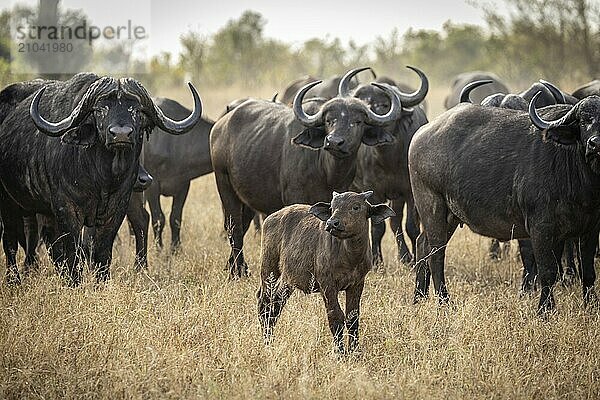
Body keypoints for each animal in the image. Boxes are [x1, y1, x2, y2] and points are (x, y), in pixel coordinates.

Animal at [0, 72, 202, 284]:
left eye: (136, 110)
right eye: (100, 109)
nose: (121, 134)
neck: (101, 178)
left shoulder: (117, 208)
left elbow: (101, 250)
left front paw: (101, 281)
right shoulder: (66, 208)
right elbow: (72, 250)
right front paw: (74, 282)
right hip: (8, 203)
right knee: (11, 240)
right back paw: (14, 279)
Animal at [211, 67, 404, 278]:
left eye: (358, 121)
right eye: (329, 120)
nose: (334, 142)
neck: (327, 172)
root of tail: (221, 124)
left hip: (246, 198)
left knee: (242, 225)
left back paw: (235, 267)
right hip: (224, 184)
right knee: (234, 227)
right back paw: (238, 271)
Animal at [256, 192, 394, 352]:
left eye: (356, 207)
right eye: (333, 207)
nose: (332, 223)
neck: (350, 257)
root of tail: (270, 218)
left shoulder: (358, 283)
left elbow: (353, 317)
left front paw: (354, 350)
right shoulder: (327, 285)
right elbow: (335, 316)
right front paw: (340, 352)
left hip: (288, 279)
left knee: (276, 303)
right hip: (268, 267)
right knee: (264, 302)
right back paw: (267, 341)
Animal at [350, 67, 428, 264]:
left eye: (384, 104)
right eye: (361, 101)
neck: (388, 159)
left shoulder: (409, 192)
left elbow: (410, 226)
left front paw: (415, 259)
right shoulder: (373, 191)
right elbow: (377, 228)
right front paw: (377, 261)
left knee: (397, 221)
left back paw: (406, 256)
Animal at [410, 92, 600, 314]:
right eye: (584, 120)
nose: (595, 144)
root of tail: (421, 134)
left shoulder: (589, 229)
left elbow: (588, 271)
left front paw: (591, 305)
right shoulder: (541, 228)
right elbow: (547, 271)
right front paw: (545, 311)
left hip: (451, 216)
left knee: (422, 245)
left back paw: (419, 297)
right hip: (432, 206)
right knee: (436, 253)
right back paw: (444, 302)